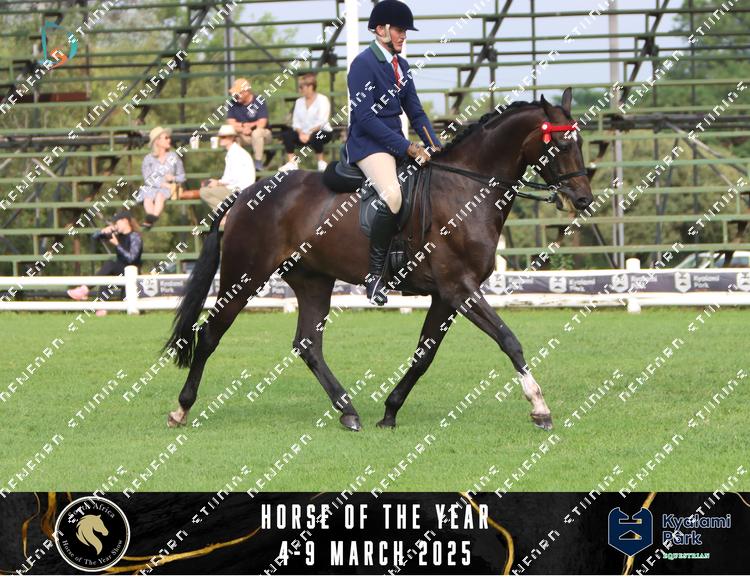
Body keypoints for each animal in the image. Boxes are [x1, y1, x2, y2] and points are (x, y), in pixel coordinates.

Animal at [164, 87, 593, 432]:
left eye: (580, 143)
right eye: (560, 146)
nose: (583, 199)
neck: (465, 188)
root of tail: (246, 194)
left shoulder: (446, 296)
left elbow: (424, 355)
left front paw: (390, 411)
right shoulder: (460, 288)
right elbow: (509, 340)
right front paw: (539, 407)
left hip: (312, 280)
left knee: (308, 344)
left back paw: (348, 411)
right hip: (245, 277)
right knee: (210, 334)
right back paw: (181, 409)